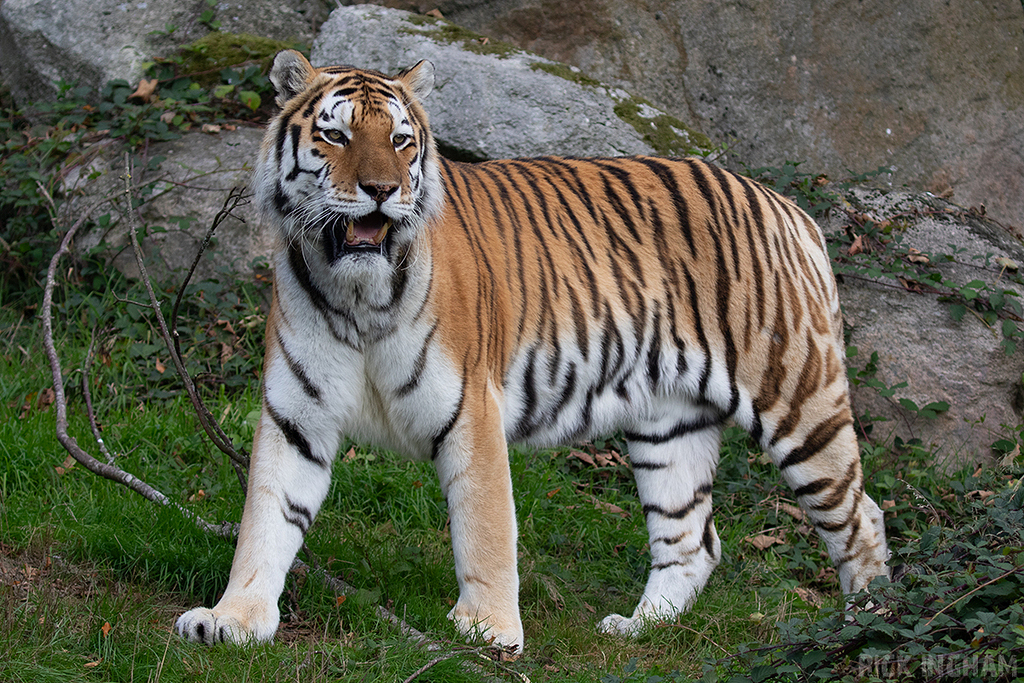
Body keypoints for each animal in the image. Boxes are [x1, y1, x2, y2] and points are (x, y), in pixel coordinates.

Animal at [175, 49, 889, 653]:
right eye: (337, 136)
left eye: (401, 142)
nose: (381, 189)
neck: (356, 294)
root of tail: (789, 207)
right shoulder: (298, 414)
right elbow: (266, 518)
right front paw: (233, 618)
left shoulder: (470, 407)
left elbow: (486, 525)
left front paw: (487, 631)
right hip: (668, 424)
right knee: (692, 539)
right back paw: (637, 629)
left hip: (797, 401)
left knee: (862, 517)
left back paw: (868, 629)